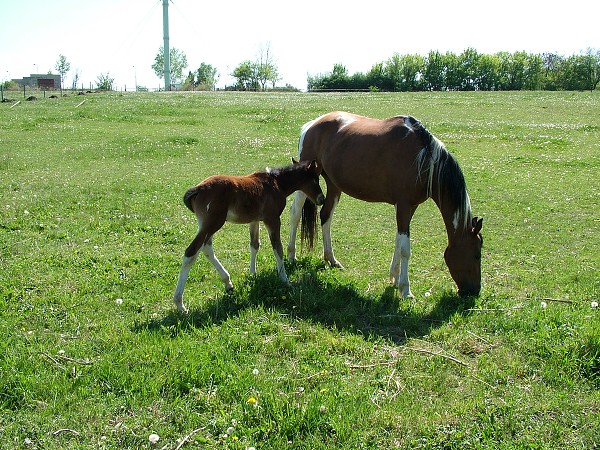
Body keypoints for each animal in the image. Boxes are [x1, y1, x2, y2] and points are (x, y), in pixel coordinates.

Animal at [288, 111, 482, 298]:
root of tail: (311, 125)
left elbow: (398, 241)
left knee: (326, 216)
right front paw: (405, 289)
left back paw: (331, 259)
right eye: (476, 255)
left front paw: (394, 278)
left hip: (334, 185)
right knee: (295, 214)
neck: (423, 158)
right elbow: (405, 248)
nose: (474, 291)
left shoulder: (410, 207)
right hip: (305, 181)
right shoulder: (403, 205)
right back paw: (291, 255)